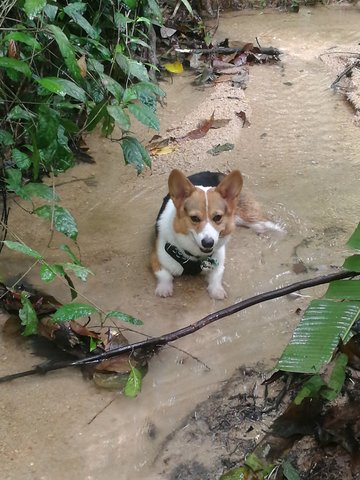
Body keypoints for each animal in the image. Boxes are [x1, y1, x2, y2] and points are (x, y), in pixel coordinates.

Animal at [150, 171, 282, 300]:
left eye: (217, 217)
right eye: (194, 218)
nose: (208, 243)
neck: (194, 256)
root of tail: (215, 172)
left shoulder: (219, 260)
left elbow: (217, 276)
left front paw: (216, 290)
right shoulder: (156, 258)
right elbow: (164, 275)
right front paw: (164, 289)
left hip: (239, 214)